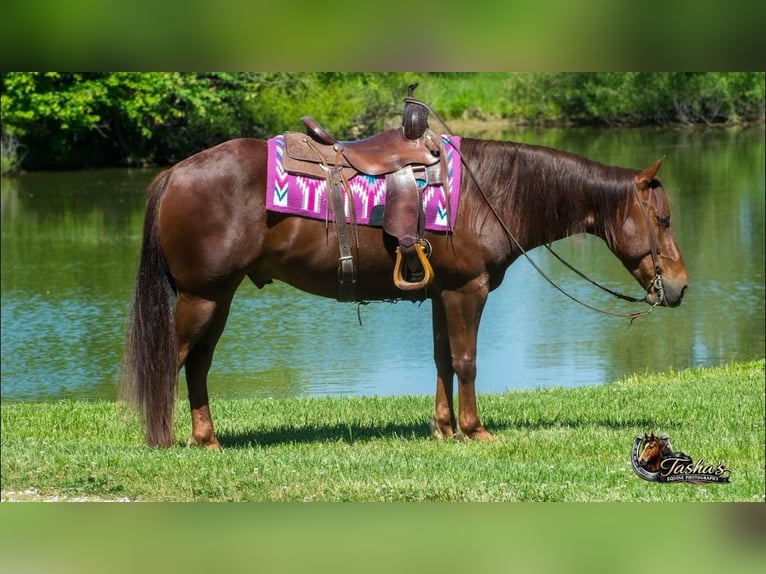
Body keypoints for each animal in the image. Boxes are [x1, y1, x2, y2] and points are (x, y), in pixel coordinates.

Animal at [120, 135, 688, 448]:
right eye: (662, 220)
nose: (680, 286)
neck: (489, 191)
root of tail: (173, 173)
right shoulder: (467, 291)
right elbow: (466, 362)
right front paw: (474, 430)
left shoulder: (442, 294)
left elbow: (441, 360)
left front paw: (443, 428)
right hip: (202, 297)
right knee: (171, 360)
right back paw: (163, 439)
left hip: (218, 297)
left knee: (197, 365)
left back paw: (206, 439)